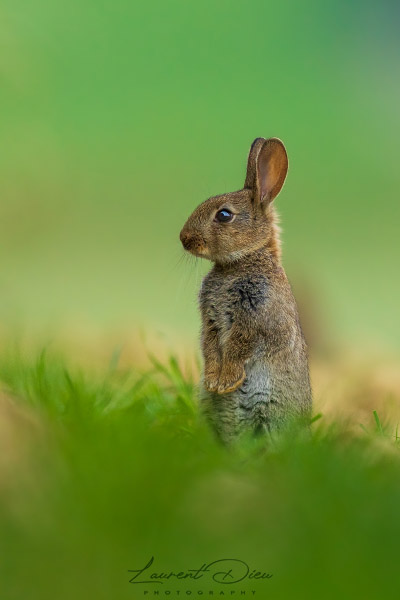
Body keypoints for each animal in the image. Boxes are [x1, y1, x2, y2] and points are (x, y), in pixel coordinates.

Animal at [179, 138, 312, 442]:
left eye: (224, 215)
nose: (184, 238)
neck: (244, 260)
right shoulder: (211, 320)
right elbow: (210, 346)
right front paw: (214, 381)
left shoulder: (254, 317)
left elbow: (238, 348)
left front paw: (225, 382)